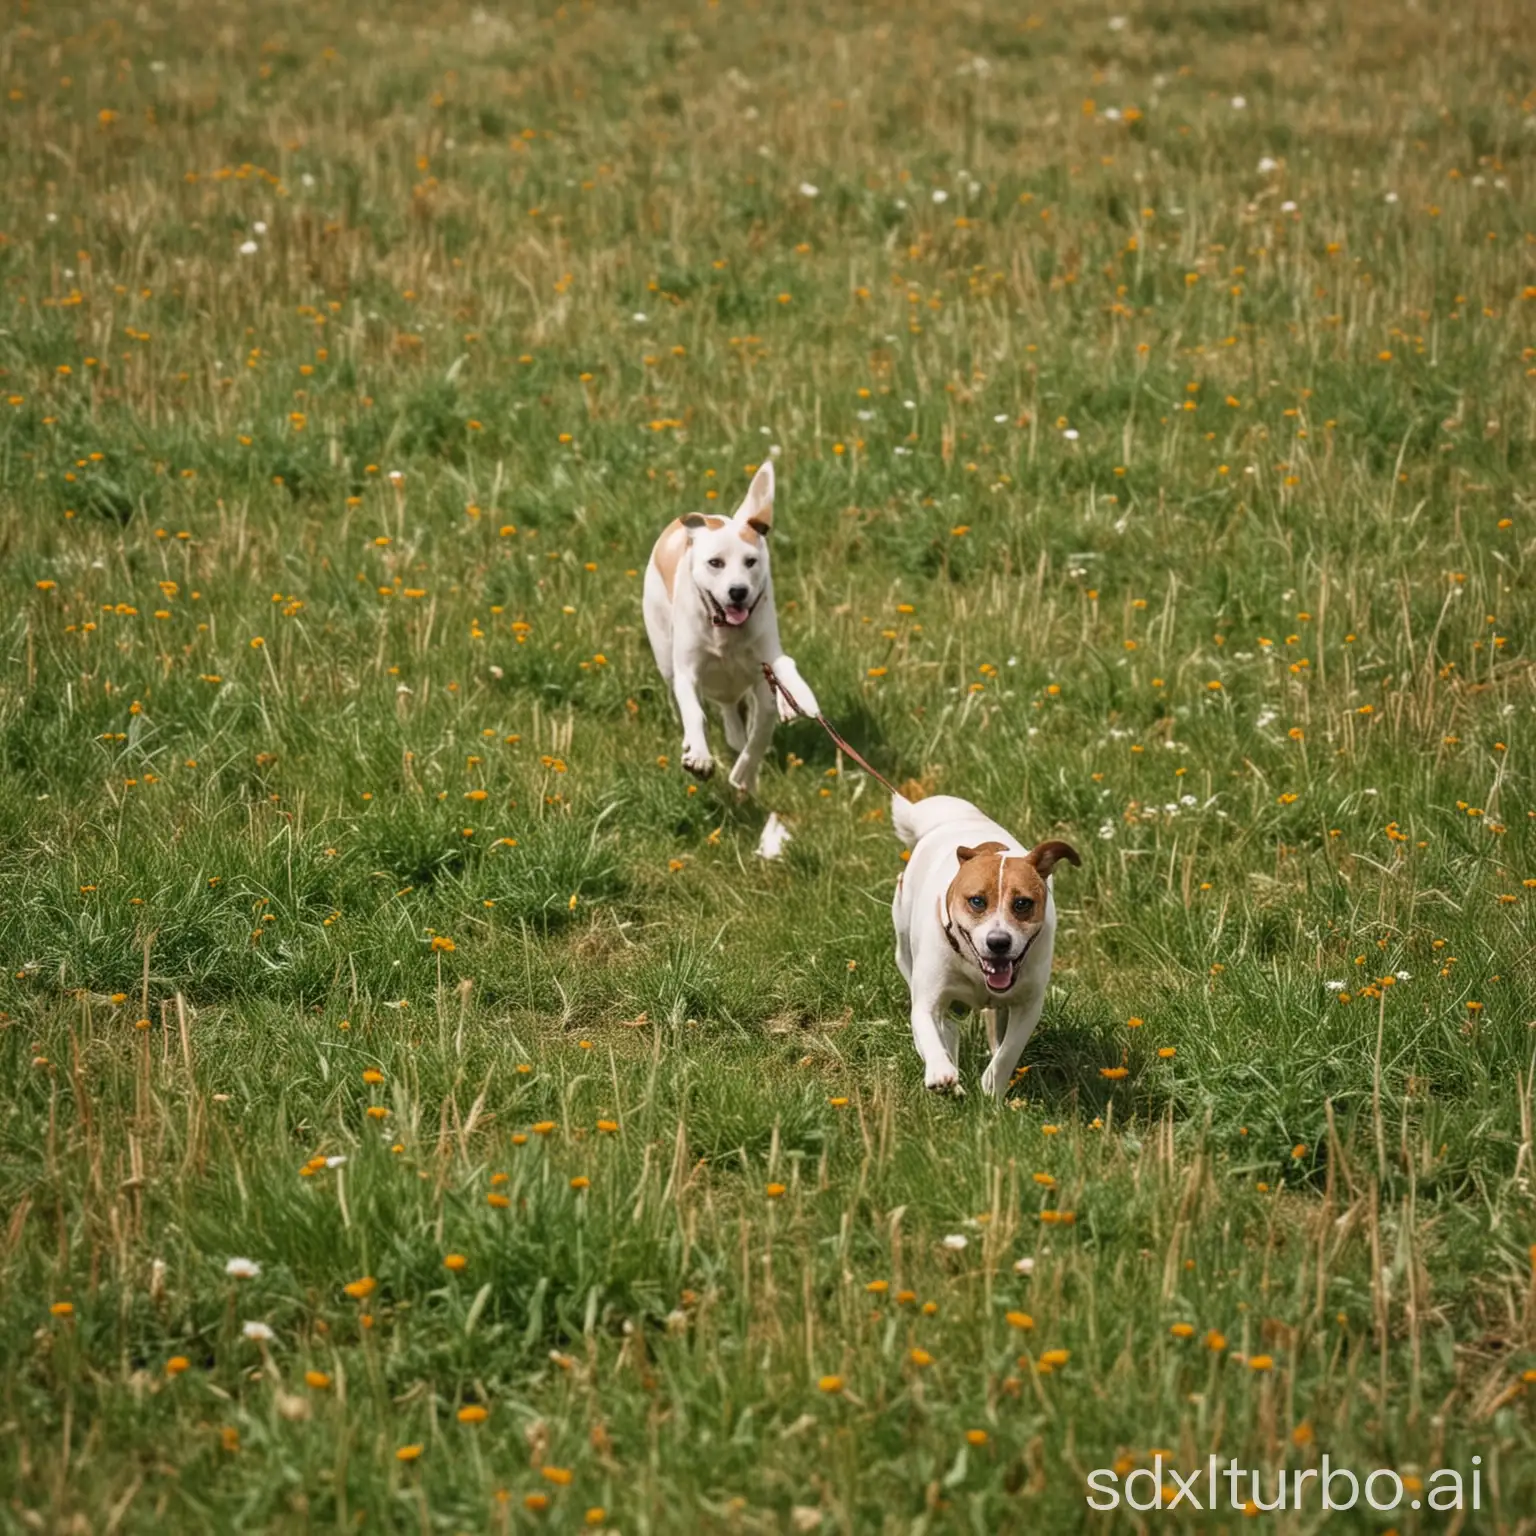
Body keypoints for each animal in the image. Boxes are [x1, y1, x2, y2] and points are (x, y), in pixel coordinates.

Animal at [890, 792, 1081, 1105]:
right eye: (977, 901)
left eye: (1022, 903)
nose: (998, 942)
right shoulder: (928, 998)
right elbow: (929, 1028)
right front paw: (941, 1073)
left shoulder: (1028, 1004)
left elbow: (1008, 1052)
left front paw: (992, 1086)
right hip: (904, 946)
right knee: (945, 1027)